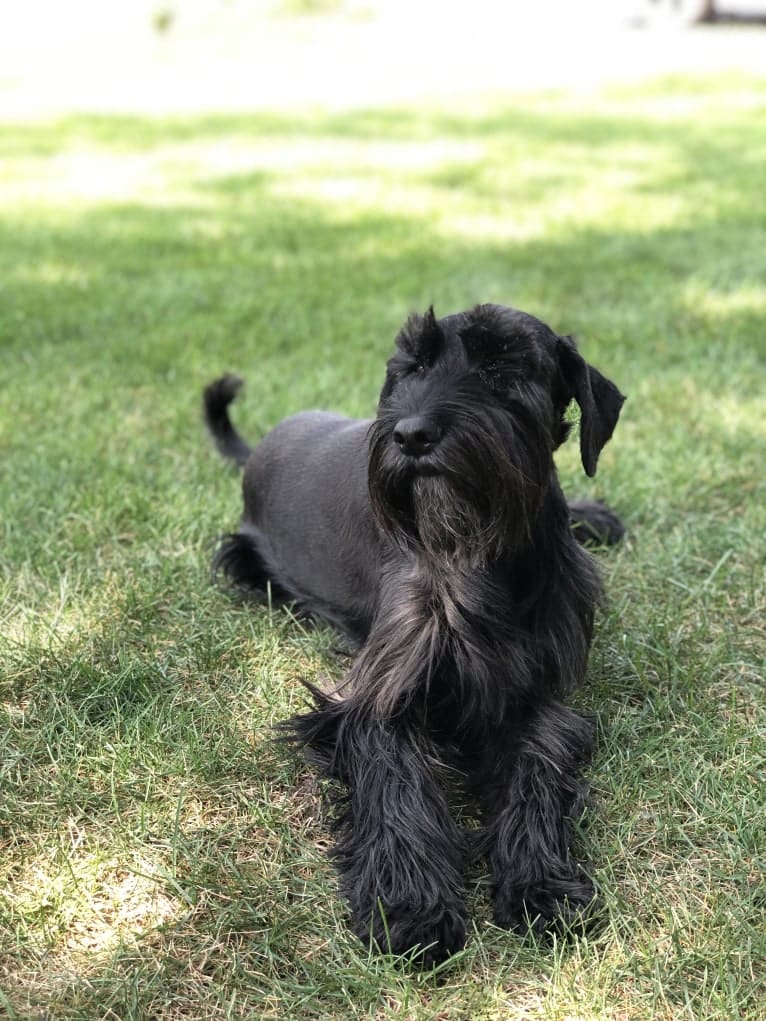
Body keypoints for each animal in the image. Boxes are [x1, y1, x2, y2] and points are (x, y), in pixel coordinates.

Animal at [204, 300, 625, 963]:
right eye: (412, 365)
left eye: (502, 364)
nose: (411, 435)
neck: (478, 552)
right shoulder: (376, 696)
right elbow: (396, 782)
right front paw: (409, 904)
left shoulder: (532, 696)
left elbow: (534, 773)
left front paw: (539, 881)